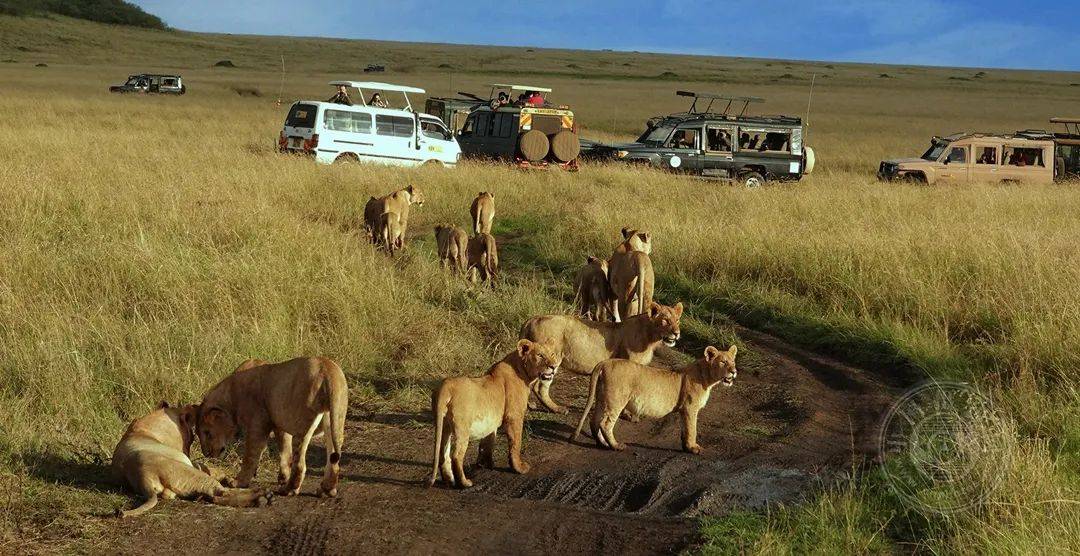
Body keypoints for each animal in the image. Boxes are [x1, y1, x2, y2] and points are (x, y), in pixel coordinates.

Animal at [111, 401, 272, 520]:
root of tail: (143, 477)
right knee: (221, 492)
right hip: (191, 474)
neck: (143, 428)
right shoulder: (189, 461)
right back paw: (261, 495)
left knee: (216, 496)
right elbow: (209, 467)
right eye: (193, 437)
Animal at [194, 358, 345, 498]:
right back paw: (326, 490)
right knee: (333, 459)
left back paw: (288, 490)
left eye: (207, 433)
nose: (206, 454)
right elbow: (284, 451)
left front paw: (238, 482)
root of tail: (327, 368)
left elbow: (250, 456)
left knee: (300, 464)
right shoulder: (279, 424)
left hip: (302, 423)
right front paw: (283, 477)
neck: (231, 394)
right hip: (335, 419)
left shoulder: (258, 425)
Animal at [429, 336, 565, 490]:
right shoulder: (514, 416)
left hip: (444, 425)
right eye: (540, 355)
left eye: (552, 354)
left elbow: (487, 444)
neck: (523, 371)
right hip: (461, 427)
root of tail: (446, 385)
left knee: (443, 453)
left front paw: (485, 465)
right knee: (456, 455)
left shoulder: (491, 422)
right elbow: (515, 443)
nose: (553, 366)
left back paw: (449, 481)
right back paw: (464, 483)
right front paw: (519, 468)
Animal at [516, 302, 682, 414]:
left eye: (677, 320)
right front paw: (628, 414)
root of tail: (531, 319)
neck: (650, 336)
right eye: (665, 320)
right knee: (540, 387)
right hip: (551, 361)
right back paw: (558, 409)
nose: (677, 333)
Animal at [570, 345, 738, 455]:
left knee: (594, 421)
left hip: (601, 397)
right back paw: (615, 446)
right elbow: (692, 429)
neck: (707, 378)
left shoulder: (684, 410)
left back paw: (601, 444)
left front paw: (686, 447)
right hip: (616, 400)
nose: (734, 371)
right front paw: (694, 448)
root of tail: (605, 362)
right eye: (723, 362)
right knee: (605, 424)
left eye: (733, 362)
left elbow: (685, 429)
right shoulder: (690, 408)